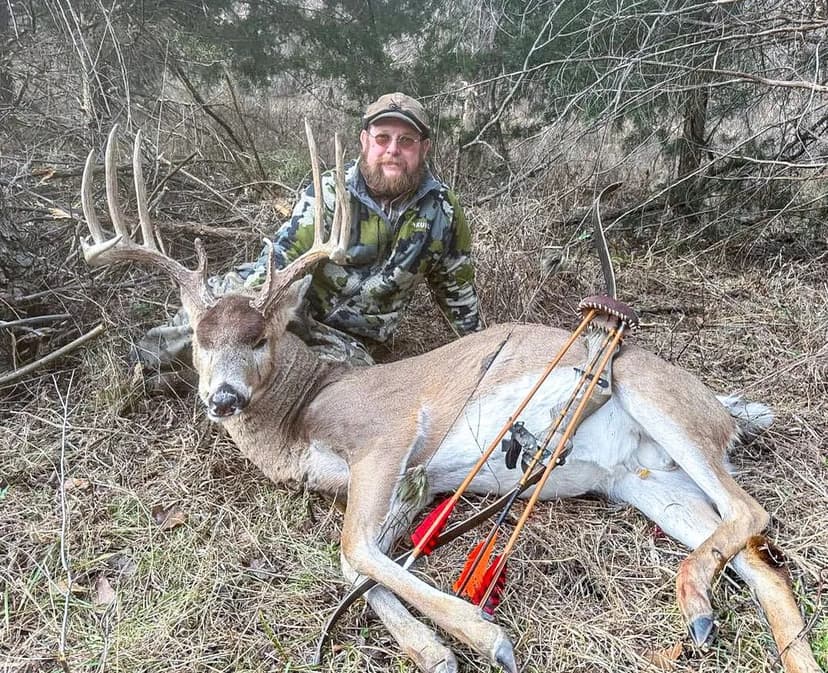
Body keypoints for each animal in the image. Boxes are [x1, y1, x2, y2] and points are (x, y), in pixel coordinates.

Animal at [77, 125, 821, 673]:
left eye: (259, 336)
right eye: (199, 340)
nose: (224, 397)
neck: (301, 413)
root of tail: (725, 409)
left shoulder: (389, 437)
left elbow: (354, 547)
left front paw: (483, 634)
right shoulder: (405, 485)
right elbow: (353, 561)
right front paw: (433, 650)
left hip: (653, 397)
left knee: (753, 509)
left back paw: (692, 594)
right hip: (642, 480)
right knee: (760, 559)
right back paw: (734, 627)